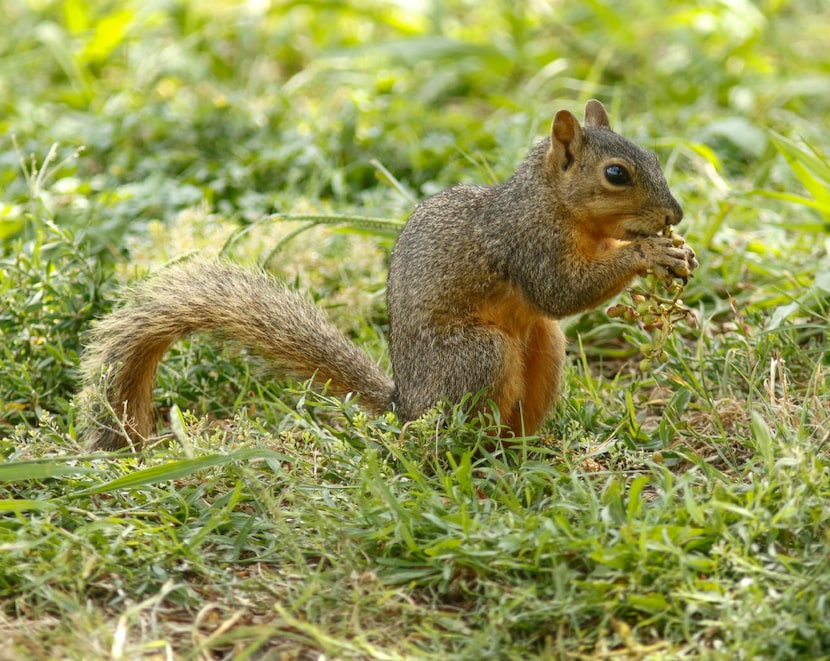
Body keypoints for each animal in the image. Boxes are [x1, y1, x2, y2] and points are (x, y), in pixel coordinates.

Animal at [79, 100, 704, 452]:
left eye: (652, 156)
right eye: (617, 174)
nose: (673, 215)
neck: (554, 202)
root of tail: (408, 405)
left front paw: (676, 251)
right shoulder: (527, 242)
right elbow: (559, 290)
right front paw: (648, 254)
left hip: (544, 348)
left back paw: (536, 446)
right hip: (476, 355)